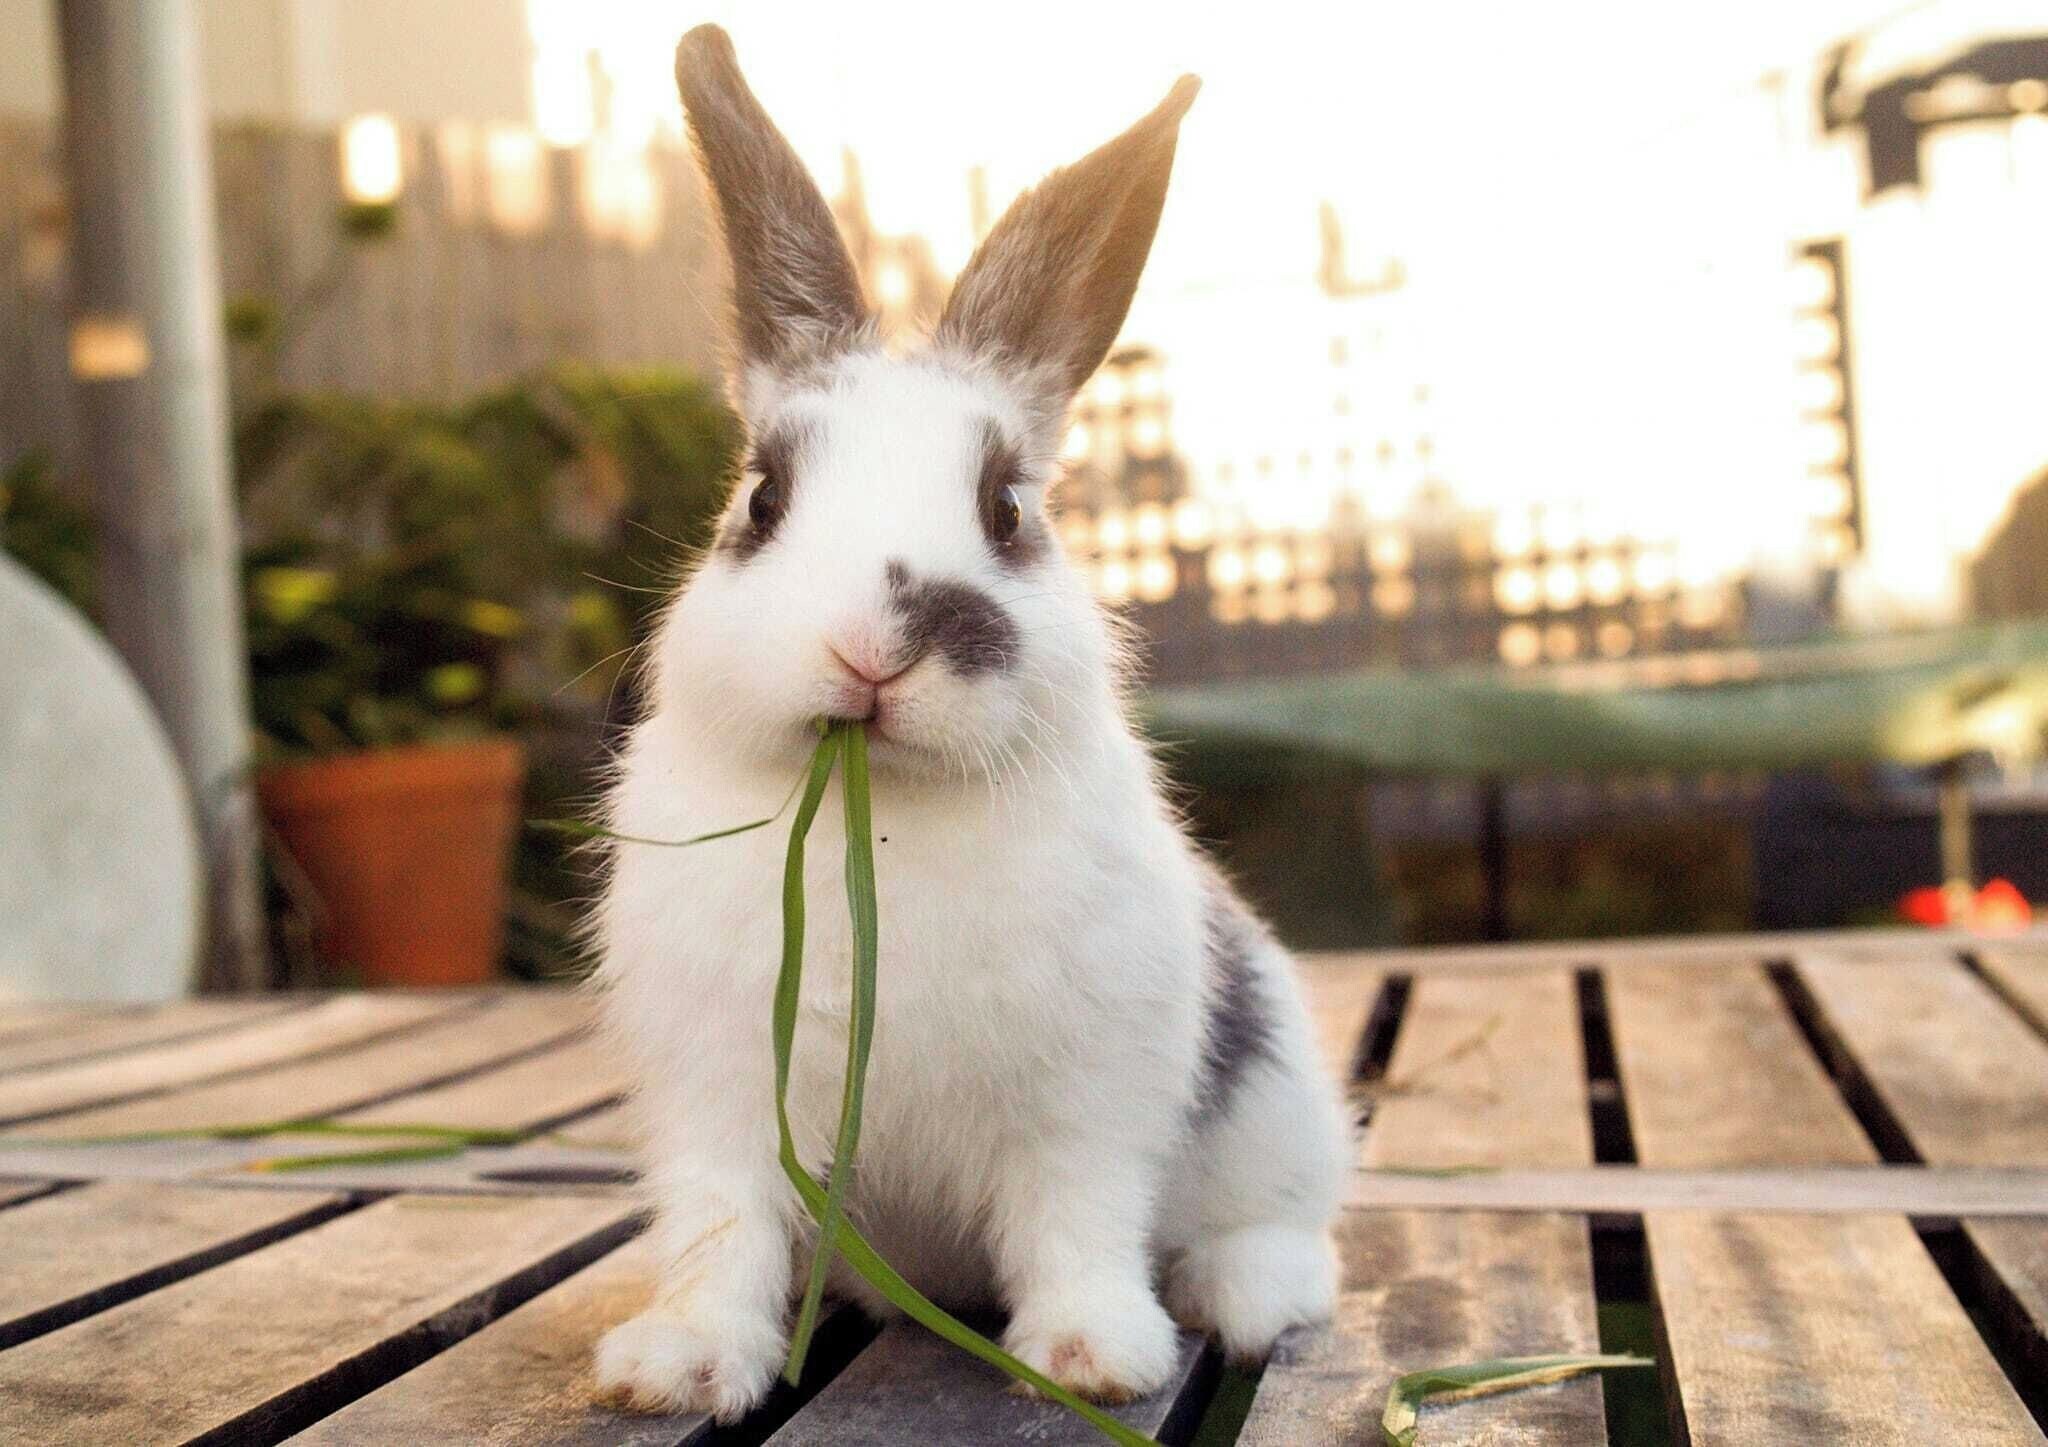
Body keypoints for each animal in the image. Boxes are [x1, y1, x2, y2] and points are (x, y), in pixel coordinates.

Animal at [589, 23, 1350, 1422]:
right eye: (761, 498)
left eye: (1005, 509)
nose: (872, 647)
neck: (879, 817)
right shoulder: (716, 1102)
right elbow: (722, 1233)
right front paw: (674, 1367)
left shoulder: (1087, 1099)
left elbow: (1074, 1219)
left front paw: (1093, 1357)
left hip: (1278, 1111)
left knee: (1288, 1235)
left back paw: (1234, 1293)